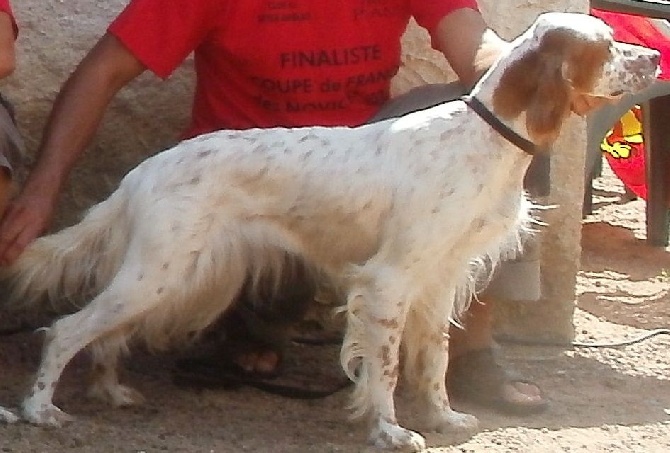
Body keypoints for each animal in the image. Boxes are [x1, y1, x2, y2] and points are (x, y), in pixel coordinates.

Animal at [0, 12, 660, 450]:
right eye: (606, 46)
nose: (655, 58)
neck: (483, 137)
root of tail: (143, 171)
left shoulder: (440, 280)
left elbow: (435, 360)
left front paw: (444, 419)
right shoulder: (389, 281)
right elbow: (385, 366)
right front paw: (389, 428)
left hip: (174, 277)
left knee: (105, 337)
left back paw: (111, 392)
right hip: (159, 273)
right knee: (65, 330)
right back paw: (40, 410)